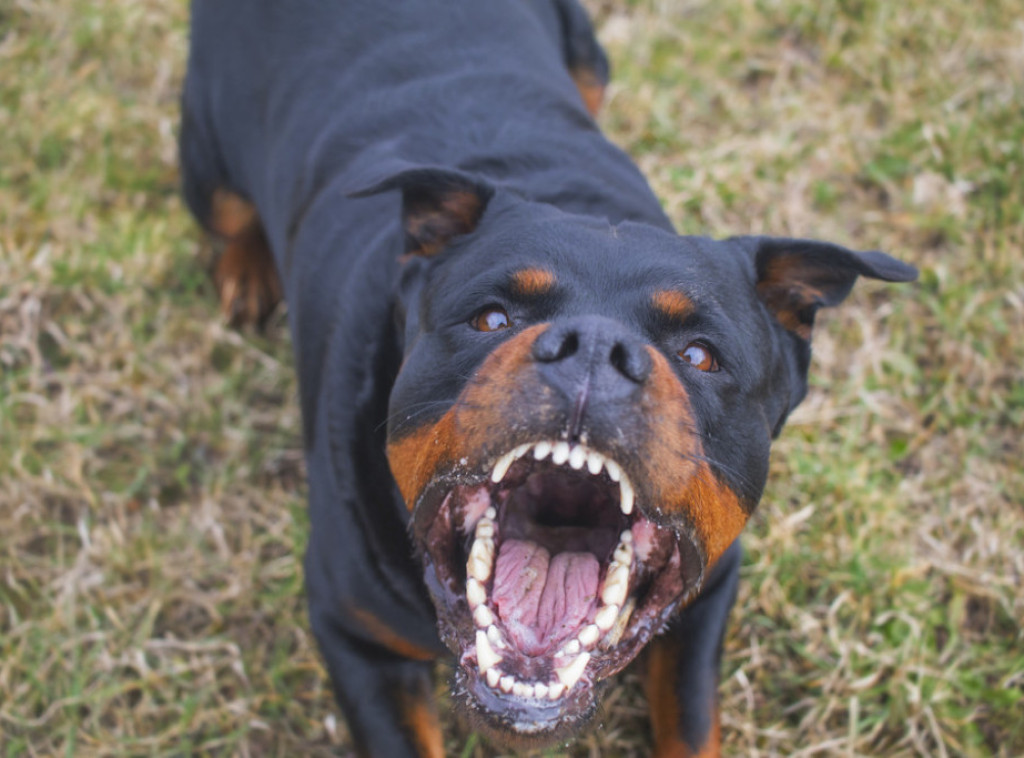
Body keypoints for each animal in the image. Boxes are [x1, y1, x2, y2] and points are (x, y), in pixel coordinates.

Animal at [178, 2, 921, 753]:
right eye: (491, 317)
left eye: (700, 356)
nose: (593, 346)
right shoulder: (353, 630)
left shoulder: (710, 593)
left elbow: (692, 726)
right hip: (207, 166)